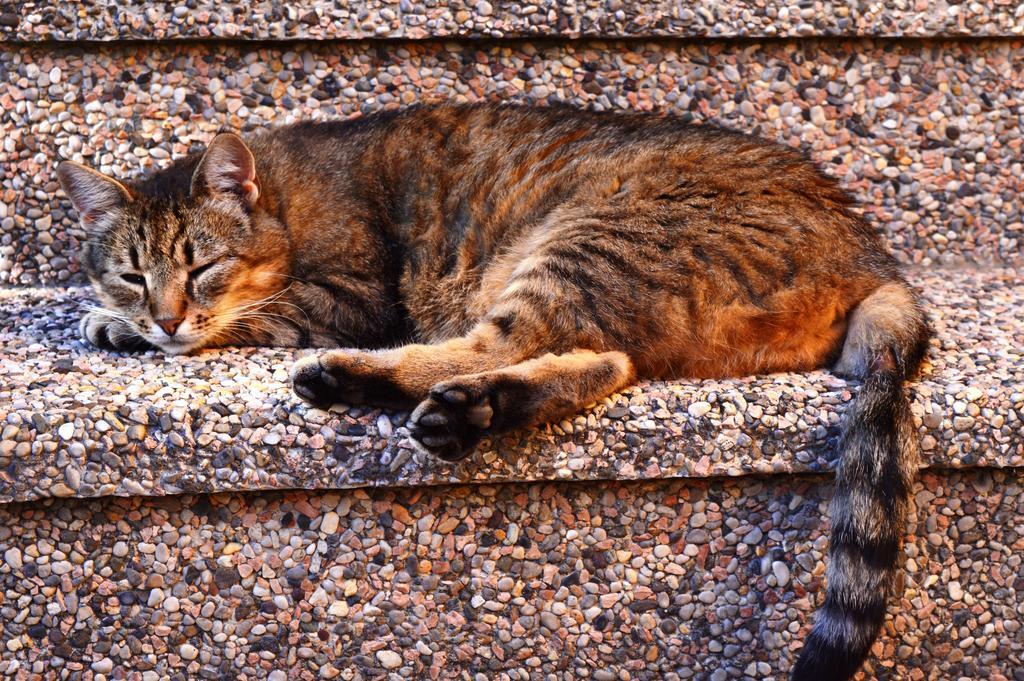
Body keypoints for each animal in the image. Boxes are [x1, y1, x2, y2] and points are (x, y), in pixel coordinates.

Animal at [59, 102, 933, 679]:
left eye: (202, 265)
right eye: (134, 274)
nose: (166, 315)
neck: (285, 194)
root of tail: (877, 257)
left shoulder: (348, 294)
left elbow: (260, 316)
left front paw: (130, 327)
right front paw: (114, 320)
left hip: (586, 240)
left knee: (499, 341)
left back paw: (363, 378)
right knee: (603, 361)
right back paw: (477, 409)